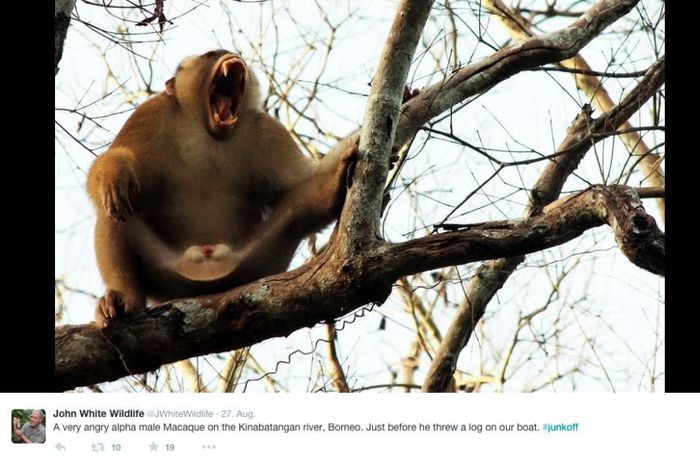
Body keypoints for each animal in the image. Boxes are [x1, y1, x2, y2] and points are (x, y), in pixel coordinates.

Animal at [87, 49, 356, 328]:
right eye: (211, 55)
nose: (232, 55)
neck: (208, 131)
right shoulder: (149, 115)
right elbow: (113, 170)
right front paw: (116, 173)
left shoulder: (268, 131)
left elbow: (296, 184)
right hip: (165, 274)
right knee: (113, 210)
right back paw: (122, 296)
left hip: (252, 264)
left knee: (294, 216)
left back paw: (331, 188)